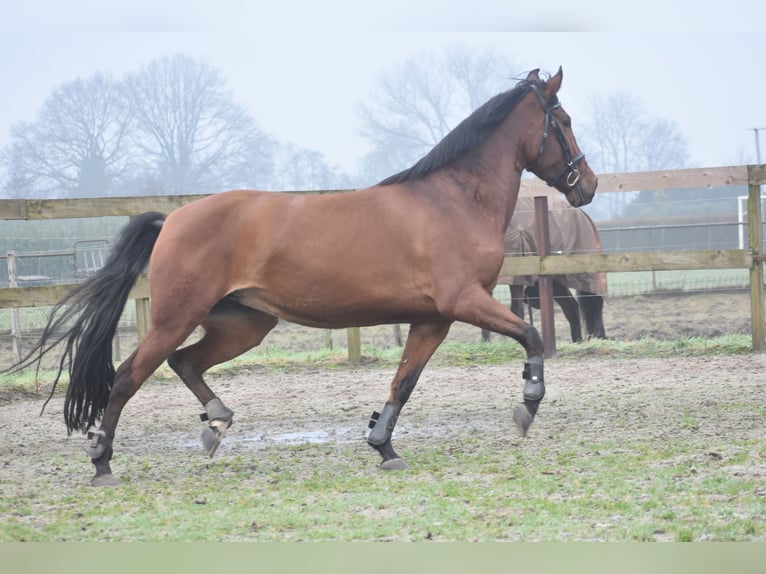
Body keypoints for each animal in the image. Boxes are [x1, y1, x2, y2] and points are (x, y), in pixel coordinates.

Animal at [10, 67, 600, 486]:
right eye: (566, 121)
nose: (588, 185)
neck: (454, 199)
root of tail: (173, 219)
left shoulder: (432, 319)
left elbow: (403, 383)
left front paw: (383, 446)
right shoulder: (464, 301)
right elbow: (532, 337)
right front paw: (527, 405)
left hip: (243, 325)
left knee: (185, 362)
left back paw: (216, 424)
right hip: (177, 317)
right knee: (128, 376)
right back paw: (102, 462)